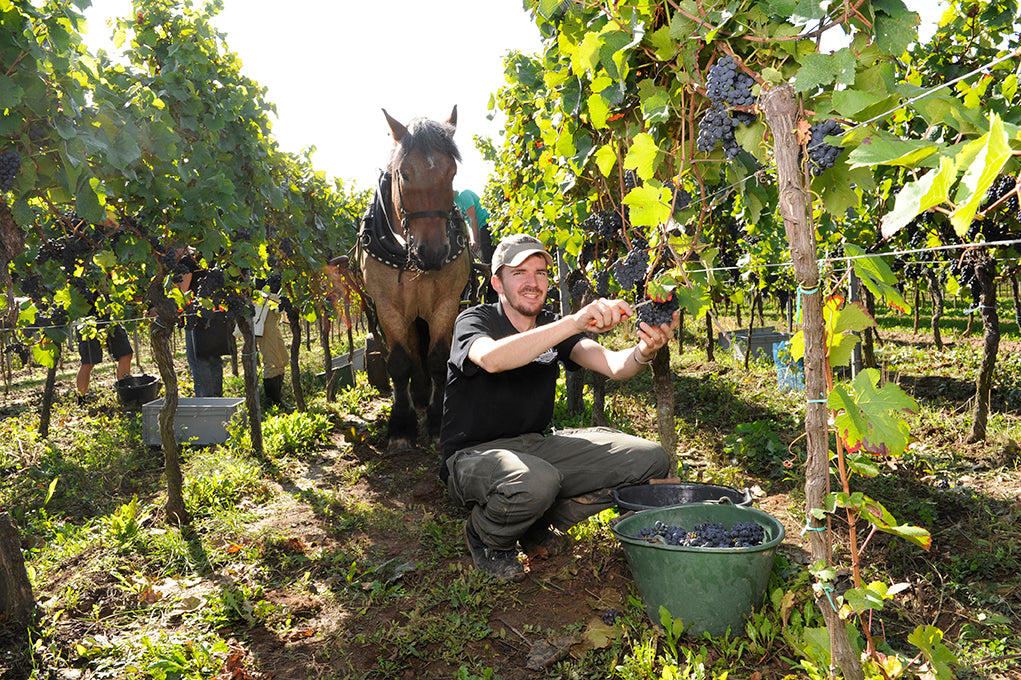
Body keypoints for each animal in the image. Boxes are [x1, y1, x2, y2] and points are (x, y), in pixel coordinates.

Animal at [359, 107, 469, 449]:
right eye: (404, 173)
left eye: (452, 173)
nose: (433, 252)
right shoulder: (387, 307)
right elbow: (399, 362)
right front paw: (401, 427)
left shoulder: (447, 302)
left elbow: (437, 358)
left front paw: (437, 421)